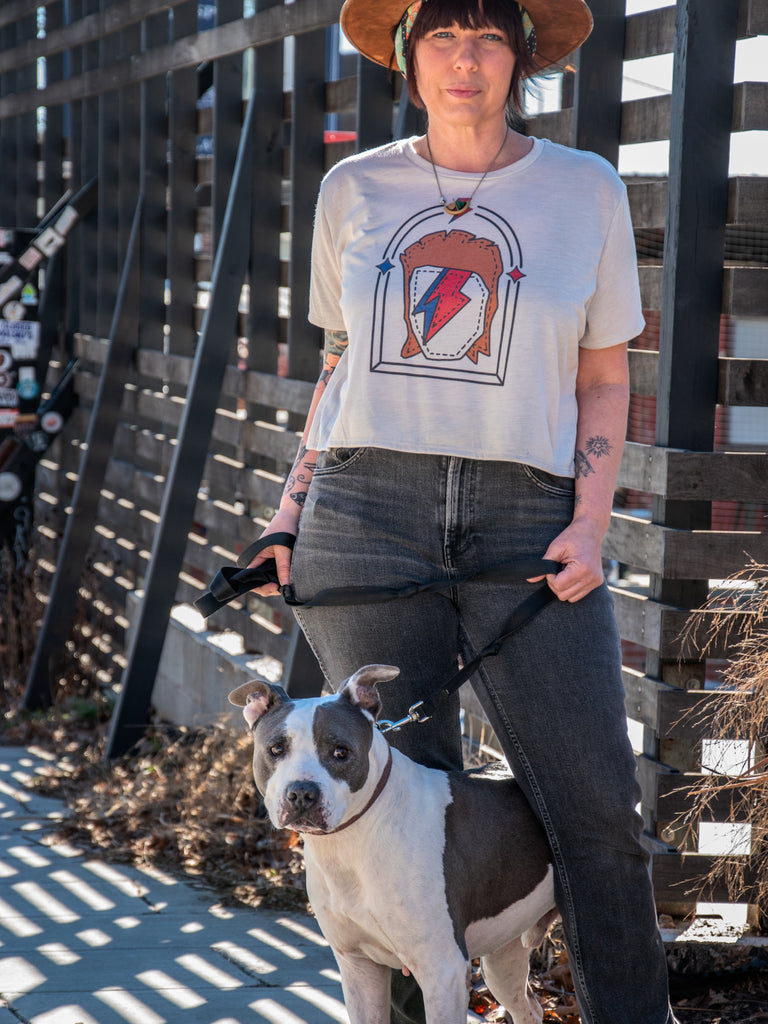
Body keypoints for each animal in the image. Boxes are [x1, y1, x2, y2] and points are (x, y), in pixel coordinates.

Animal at [228, 663, 561, 1024]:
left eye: (340, 752)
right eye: (276, 749)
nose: (302, 792)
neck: (351, 841)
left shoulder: (443, 971)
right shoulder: (359, 967)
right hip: (504, 955)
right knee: (528, 1007)